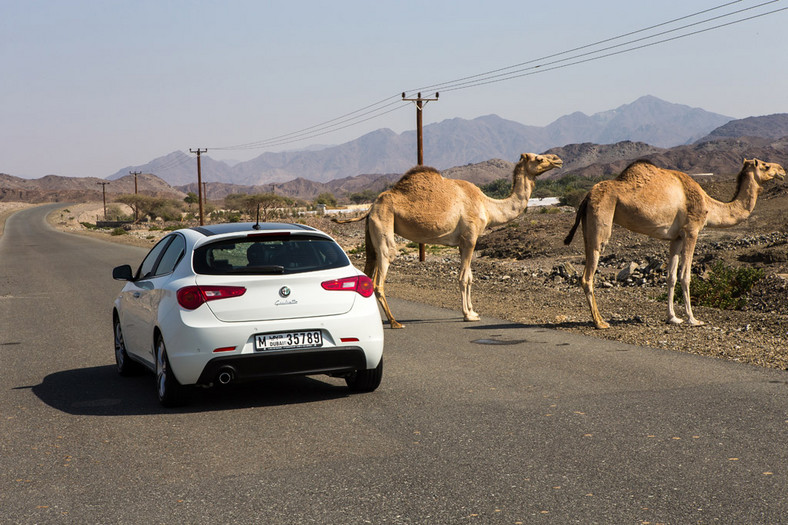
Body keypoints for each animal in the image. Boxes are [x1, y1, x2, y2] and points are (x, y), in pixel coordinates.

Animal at [336, 151, 564, 330]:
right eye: (539, 158)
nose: (558, 160)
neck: (487, 206)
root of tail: (371, 207)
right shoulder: (471, 238)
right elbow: (463, 278)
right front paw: (467, 315)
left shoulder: (463, 243)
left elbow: (470, 277)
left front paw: (473, 311)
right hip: (384, 225)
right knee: (380, 275)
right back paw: (394, 322)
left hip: (371, 233)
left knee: (367, 273)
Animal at [564, 157, 784, 328]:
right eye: (765, 166)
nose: (782, 170)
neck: (709, 205)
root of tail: (586, 197)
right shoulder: (691, 231)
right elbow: (685, 276)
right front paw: (693, 319)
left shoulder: (676, 237)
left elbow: (670, 276)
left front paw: (673, 318)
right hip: (601, 220)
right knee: (588, 275)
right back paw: (600, 322)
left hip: (588, 225)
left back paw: (600, 319)